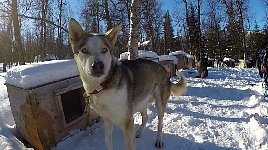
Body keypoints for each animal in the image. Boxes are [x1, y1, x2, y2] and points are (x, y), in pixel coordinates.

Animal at [68, 18, 186, 150]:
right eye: (84, 50)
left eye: (104, 50)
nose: (97, 65)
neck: (103, 86)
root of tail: (164, 70)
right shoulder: (107, 120)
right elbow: (108, 140)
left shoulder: (127, 122)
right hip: (141, 101)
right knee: (145, 118)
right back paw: (139, 132)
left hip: (159, 103)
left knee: (160, 123)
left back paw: (159, 140)